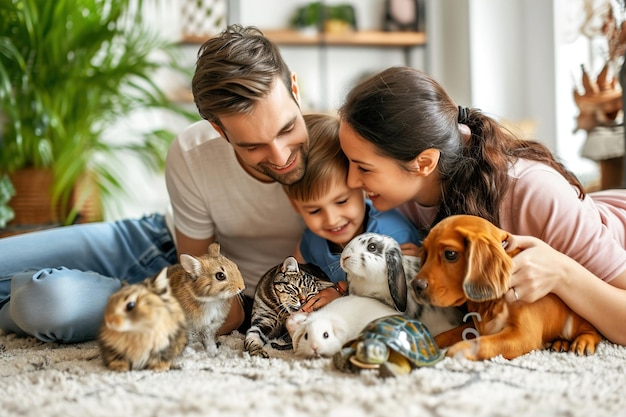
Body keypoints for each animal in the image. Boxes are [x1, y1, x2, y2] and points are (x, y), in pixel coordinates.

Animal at [410, 213, 600, 360]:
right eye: (425, 253)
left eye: (450, 254)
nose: (414, 286)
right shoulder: (477, 326)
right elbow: (447, 333)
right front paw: (425, 344)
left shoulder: (523, 335)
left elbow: (484, 343)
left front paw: (458, 350)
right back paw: (560, 343)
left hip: (574, 321)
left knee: (592, 330)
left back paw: (583, 342)